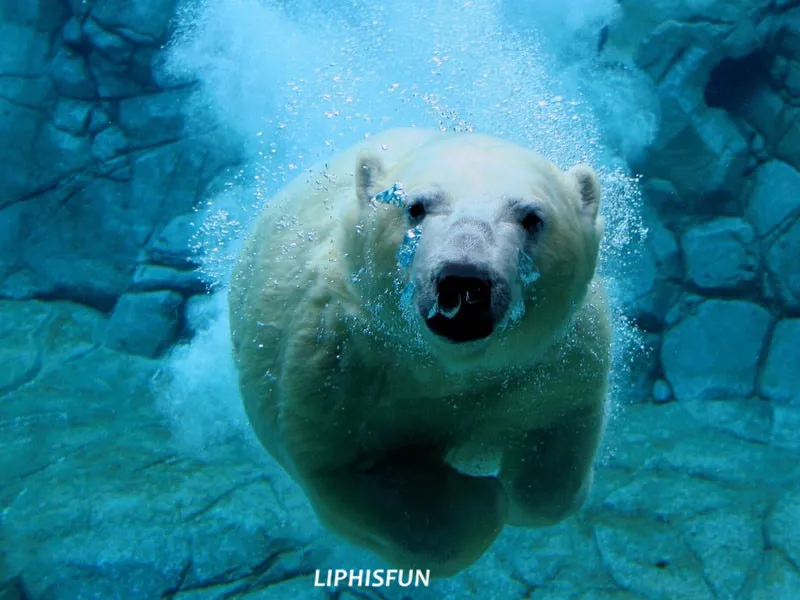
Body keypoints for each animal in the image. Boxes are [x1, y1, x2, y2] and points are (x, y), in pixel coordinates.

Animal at [228, 127, 611, 577]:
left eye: (532, 217)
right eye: (415, 207)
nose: (464, 281)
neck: (446, 367)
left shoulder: (554, 359)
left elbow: (555, 442)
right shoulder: (338, 364)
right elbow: (353, 472)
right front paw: (481, 499)